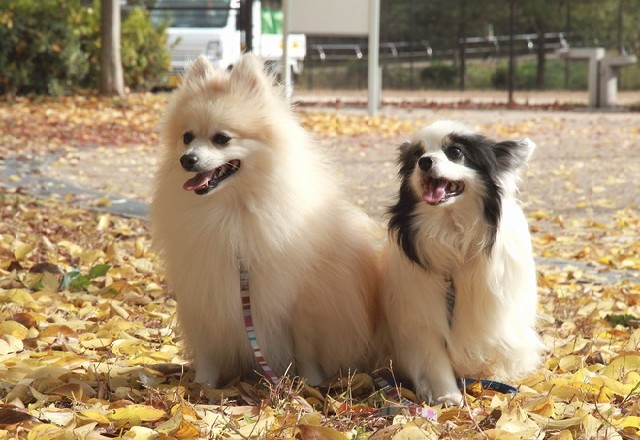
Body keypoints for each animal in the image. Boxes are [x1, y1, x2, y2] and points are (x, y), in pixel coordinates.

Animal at [150, 54, 380, 387]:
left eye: (221, 139)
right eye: (187, 137)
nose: (187, 159)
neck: (230, 212)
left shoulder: (301, 303)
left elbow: (306, 350)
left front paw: (310, 385)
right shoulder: (204, 294)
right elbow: (207, 350)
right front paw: (203, 386)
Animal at [381, 120, 544, 405]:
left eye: (456, 152)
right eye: (416, 156)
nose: (425, 161)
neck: (451, 230)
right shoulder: (421, 317)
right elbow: (434, 359)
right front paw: (447, 396)